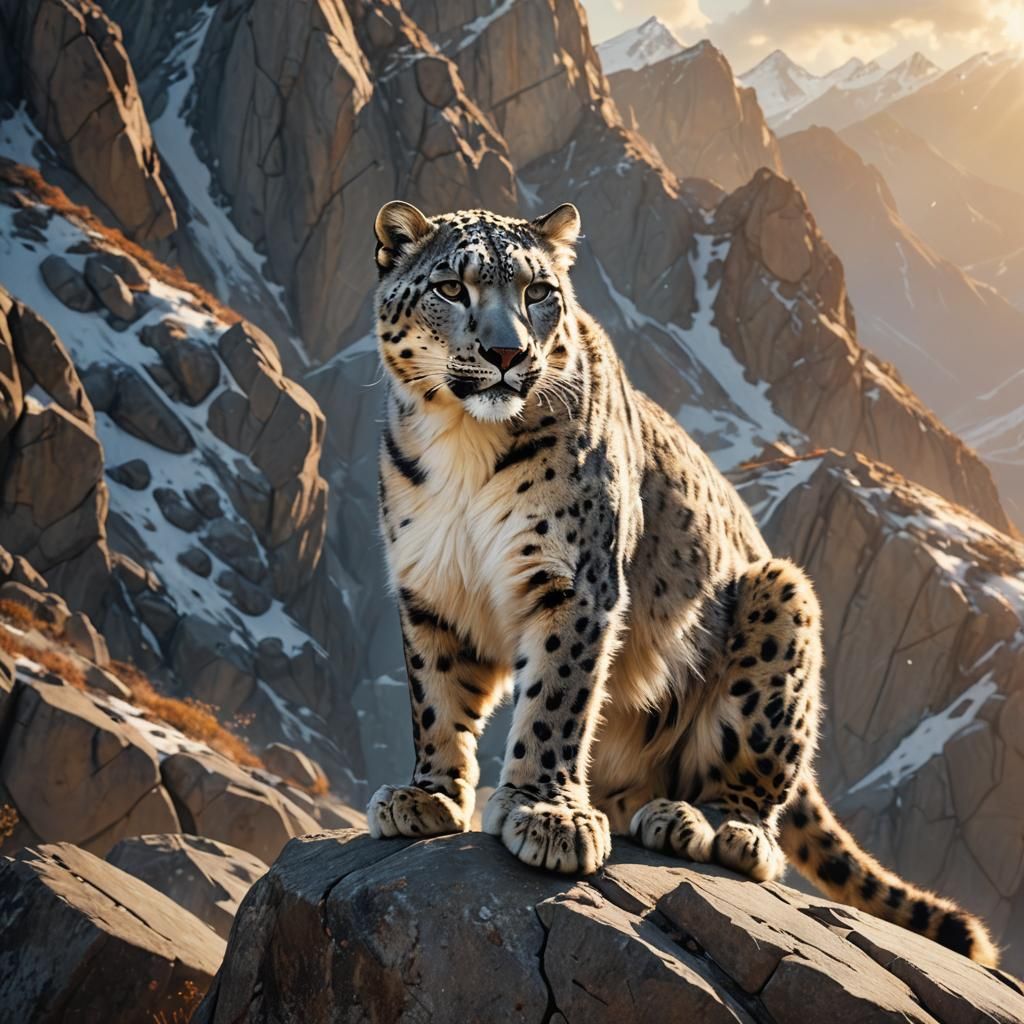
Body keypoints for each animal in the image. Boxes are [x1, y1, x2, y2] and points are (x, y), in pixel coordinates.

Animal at [365, 198, 998, 967]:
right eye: (452, 288)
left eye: (537, 292)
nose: (507, 354)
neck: (463, 447)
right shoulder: (429, 586)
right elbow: (435, 697)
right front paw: (428, 796)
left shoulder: (577, 580)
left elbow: (557, 700)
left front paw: (545, 812)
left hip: (781, 599)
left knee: (758, 807)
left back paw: (699, 824)